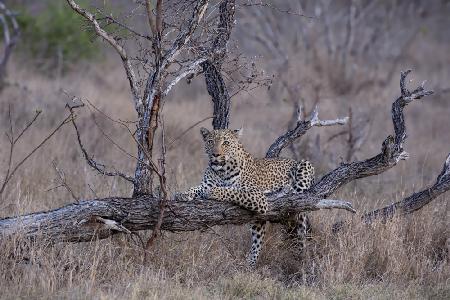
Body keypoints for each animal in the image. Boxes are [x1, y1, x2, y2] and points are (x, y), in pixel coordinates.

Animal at [174, 127, 314, 268]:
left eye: (226, 143)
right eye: (210, 141)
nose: (216, 154)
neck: (222, 170)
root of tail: (292, 160)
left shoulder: (256, 195)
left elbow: (232, 191)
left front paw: (213, 192)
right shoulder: (205, 184)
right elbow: (196, 188)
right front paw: (182, 194)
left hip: (305, 164)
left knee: (297, 194)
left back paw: (285, 190)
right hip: (258, 221)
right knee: (258, 240)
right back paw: (249, 264)